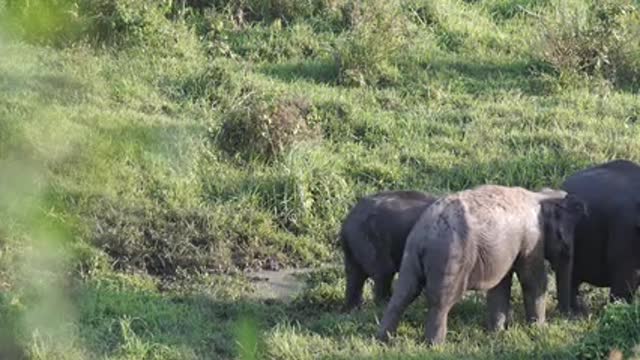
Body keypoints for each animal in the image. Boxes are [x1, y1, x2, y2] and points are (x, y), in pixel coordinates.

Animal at [378, 184, 588, 344]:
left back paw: (383, 340)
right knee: (442, 301)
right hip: (451, 256)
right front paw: (539, 330)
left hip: (411, 253)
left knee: (404, 292)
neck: (539, 195)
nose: (568, 316)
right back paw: (435, 346)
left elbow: (500, 285)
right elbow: (533, 281)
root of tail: (426, 233)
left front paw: (497, 333)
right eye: (564, 243)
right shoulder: (531, 239)